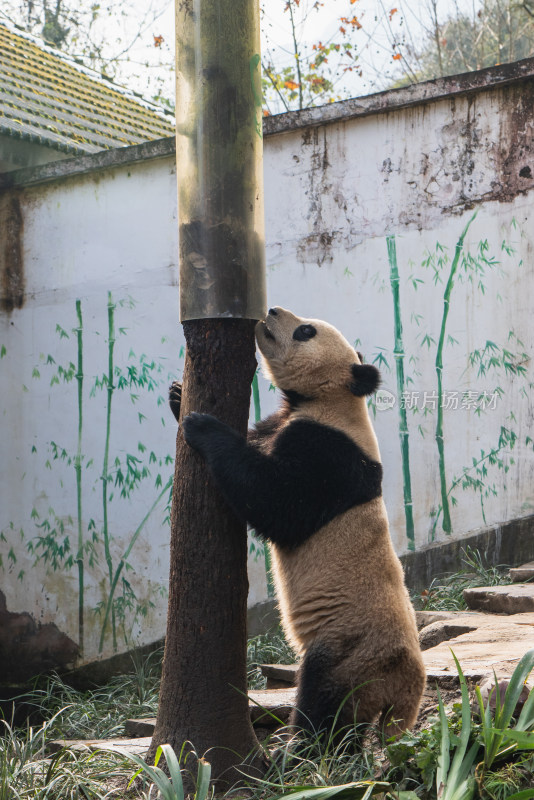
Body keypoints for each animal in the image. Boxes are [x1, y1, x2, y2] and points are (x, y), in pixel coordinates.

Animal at [172, 306, 428, 736]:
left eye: (306, 331)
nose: (272, 310)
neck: (333, 398)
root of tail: (406, 692)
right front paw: (177, 395)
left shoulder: (330, 454)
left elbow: (278, 503)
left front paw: (202, 426)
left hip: (351, 649)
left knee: (326, 704)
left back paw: (304, 746)